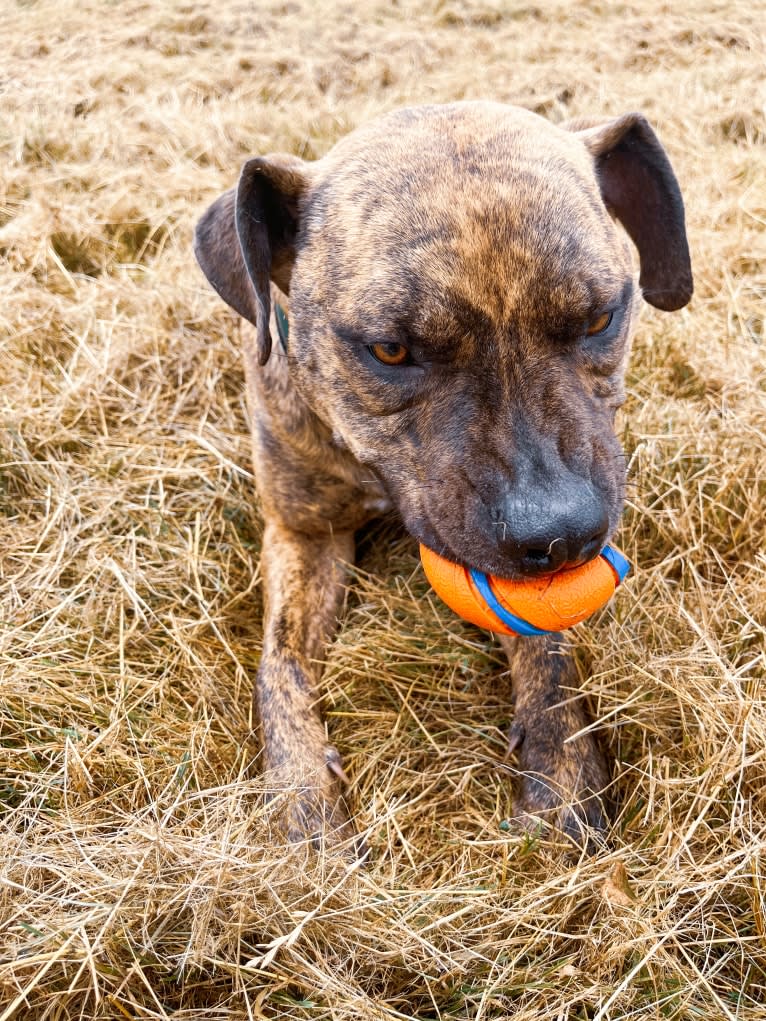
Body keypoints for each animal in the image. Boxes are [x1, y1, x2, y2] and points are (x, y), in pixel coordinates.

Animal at [193, 99, 694, 849]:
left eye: (602, 316)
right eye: (390, 350)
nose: (560, 534)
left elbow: (547, 643)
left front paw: (561, 765)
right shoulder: (301, 532)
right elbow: (278, 661)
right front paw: (303, 791)